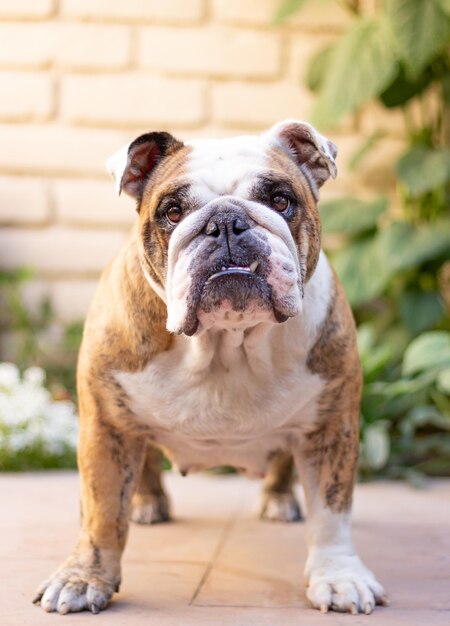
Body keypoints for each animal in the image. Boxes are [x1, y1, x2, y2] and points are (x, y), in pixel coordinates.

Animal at [34, 119, 386, 612]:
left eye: (281, 201)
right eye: (172, 212)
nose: (226, 224)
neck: (226, 342)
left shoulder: (331, 427)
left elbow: (332, 512)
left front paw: (339, 577)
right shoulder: (106, 426)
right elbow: (102, 510)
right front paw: (84, 578)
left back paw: (279, 499)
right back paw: (146, 503)